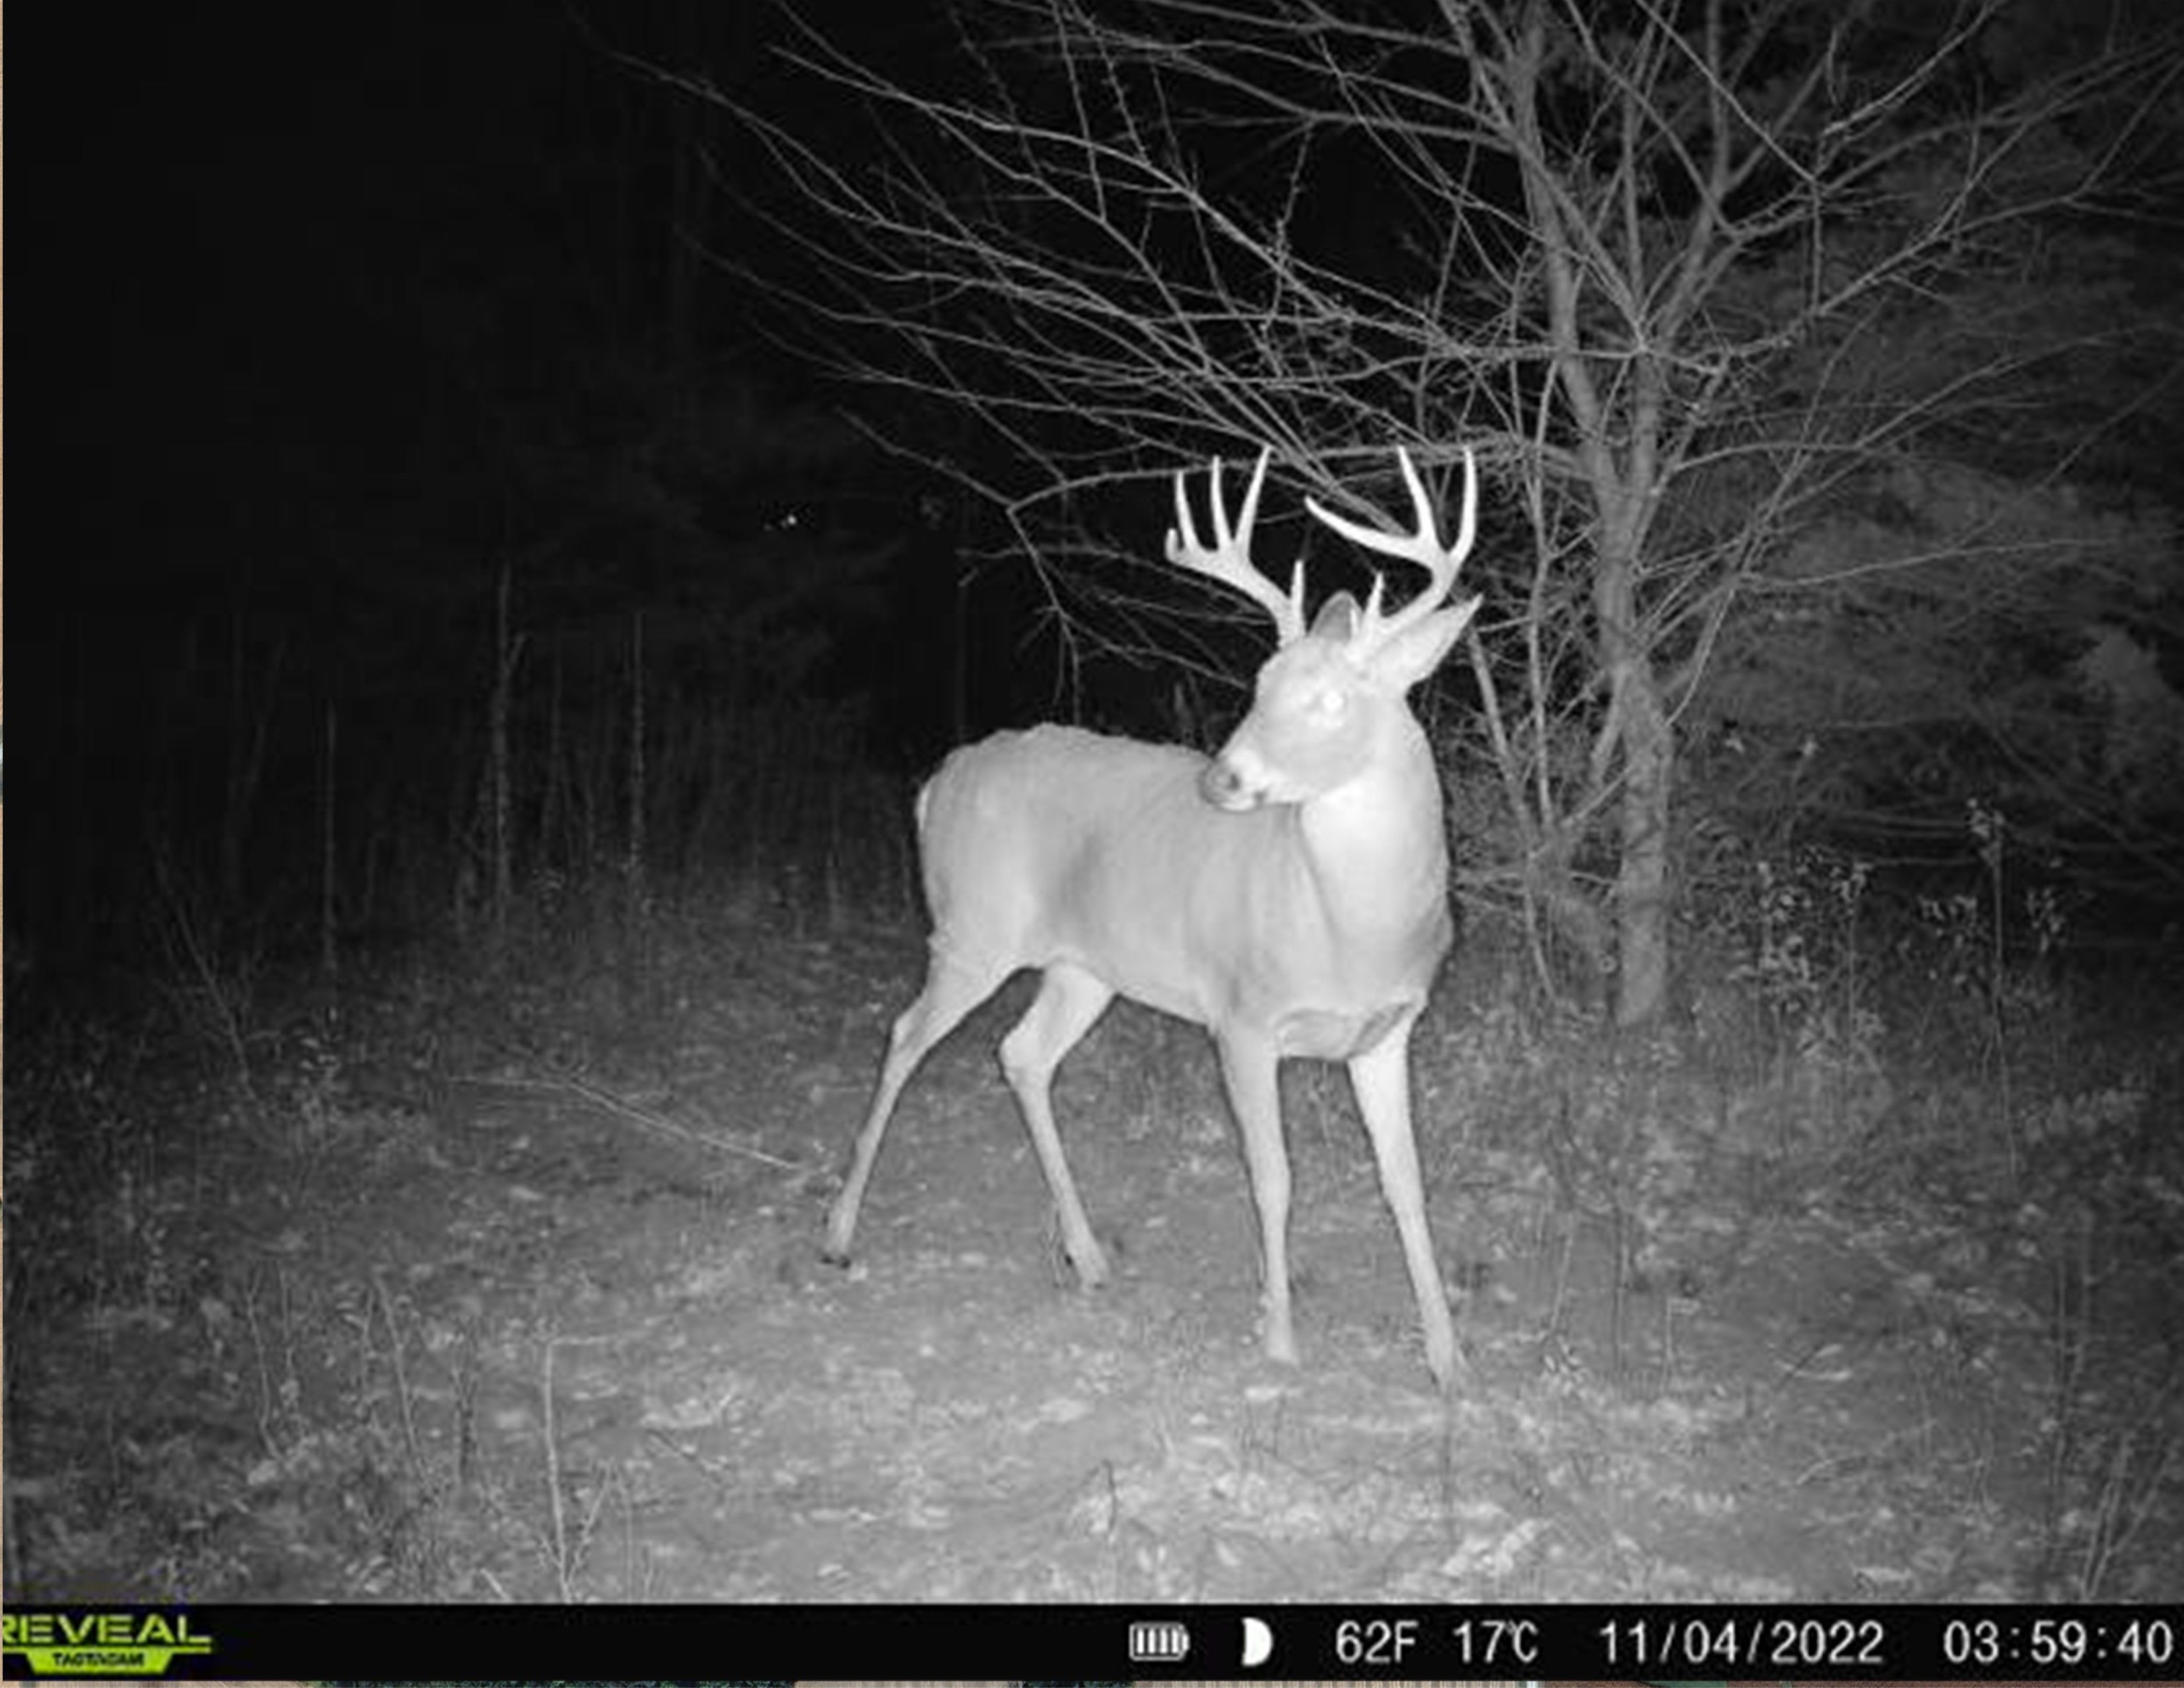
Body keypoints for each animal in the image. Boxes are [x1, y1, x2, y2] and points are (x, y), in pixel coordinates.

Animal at [823, 443, 1481, 1389]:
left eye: (1331, 701)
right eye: (1258, 682)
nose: (1221, 779)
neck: (1346, 924)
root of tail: (935, 782)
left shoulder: (1389, 1031)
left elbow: (1406, 1184)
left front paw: (1449, 1360)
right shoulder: (1242, 1019)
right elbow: (1273, 1176)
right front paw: (1279, 1339)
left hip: (1084, 967)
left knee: (1022, 1054)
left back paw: (1090, 1257)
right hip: (974, 928)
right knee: (907, 1034)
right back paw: (839, 1234)